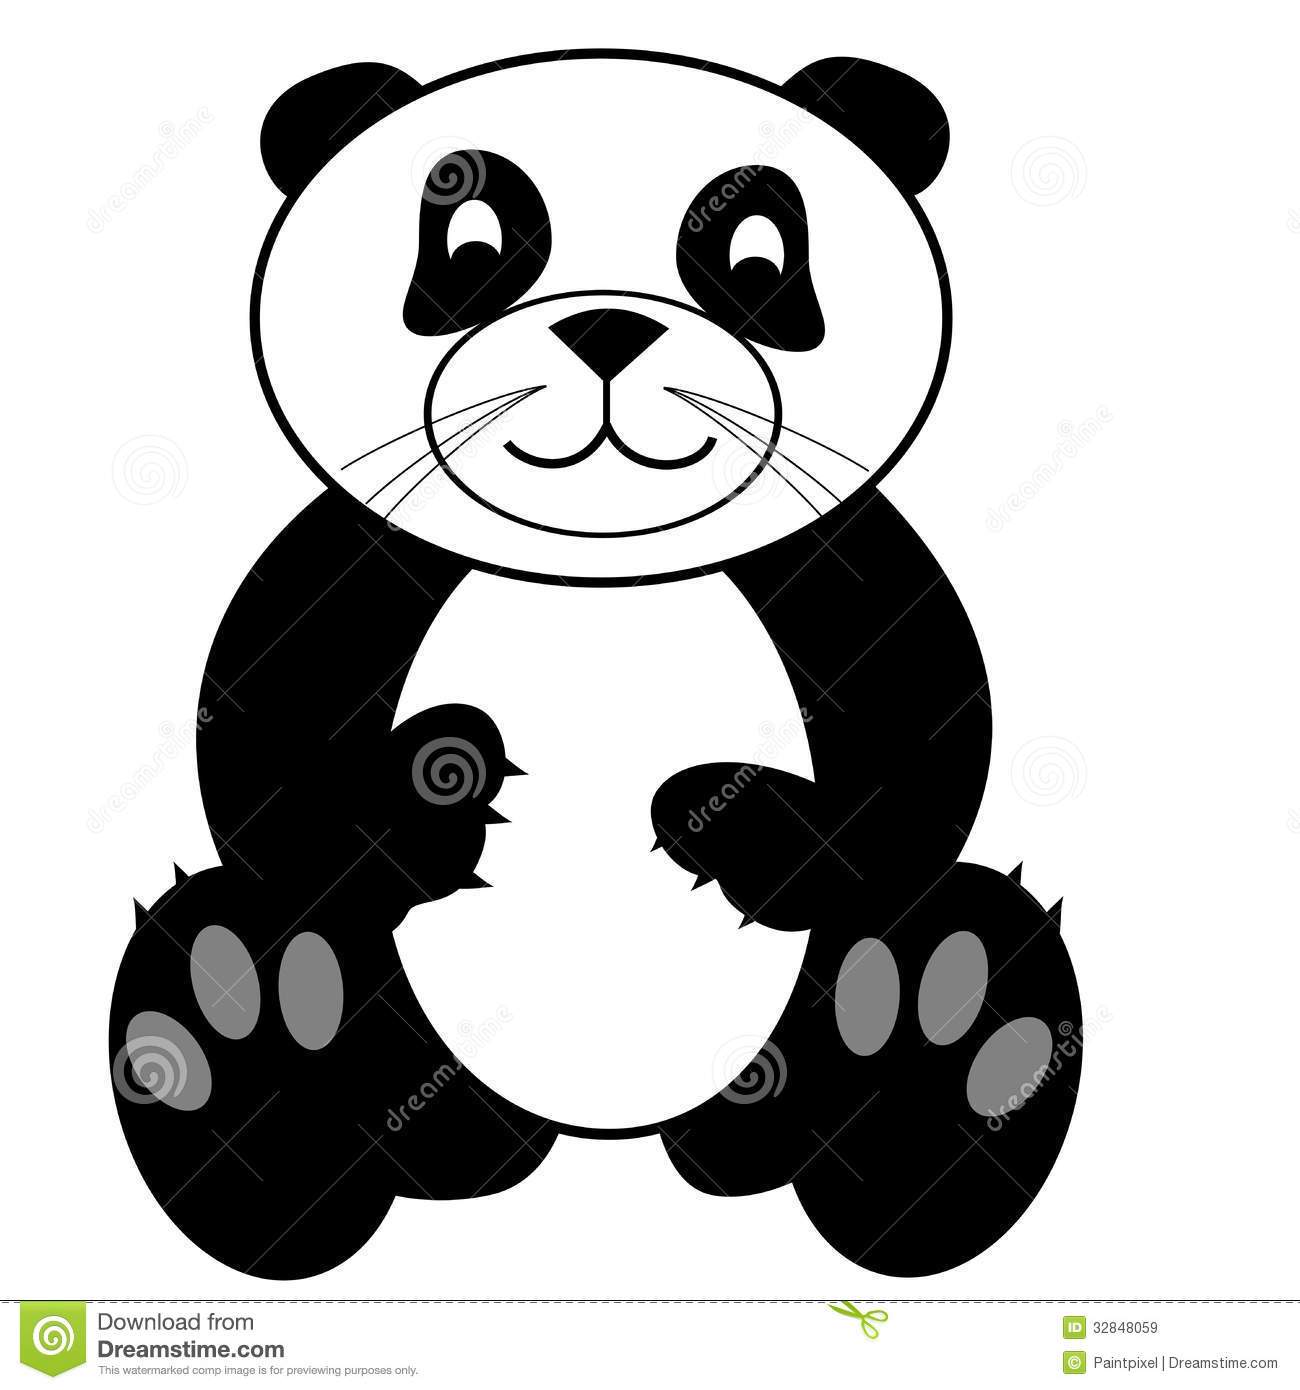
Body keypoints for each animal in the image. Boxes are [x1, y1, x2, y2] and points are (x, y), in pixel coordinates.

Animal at [109, 49, 1082, 1280]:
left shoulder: (843, 561)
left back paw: (937, 1040)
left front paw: (722, 816)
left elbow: (923, 757)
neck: (601, 572)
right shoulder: (353, 560)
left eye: (755, 255)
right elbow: (261, 752)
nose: (609, 332)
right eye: (470, 244)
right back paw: (247, 1036)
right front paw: (443, 774)